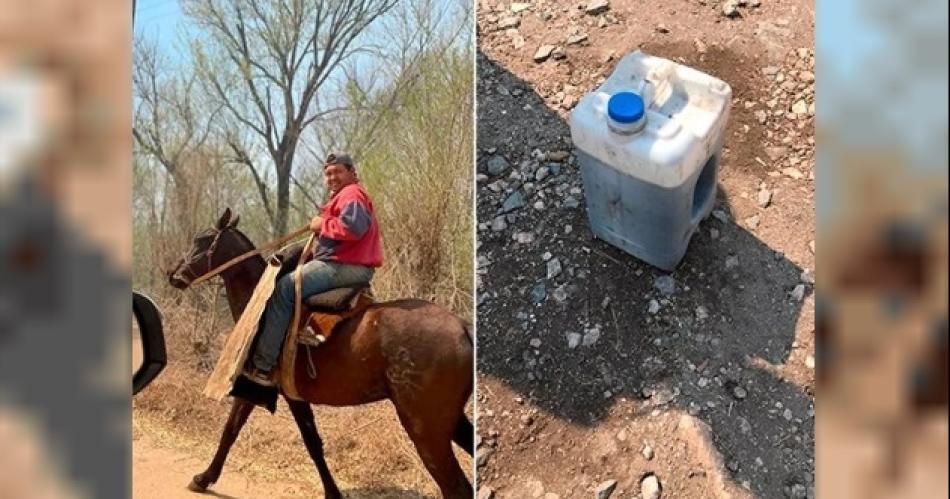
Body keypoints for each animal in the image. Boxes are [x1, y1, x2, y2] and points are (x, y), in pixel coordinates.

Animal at [169, 209, 476, 498]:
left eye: (202, 240)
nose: (173, 274)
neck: (262, 303)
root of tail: (463, 327)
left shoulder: (257, 385)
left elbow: (234, 430)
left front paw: (203, 477)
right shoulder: (292, 395)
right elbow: (310, 442)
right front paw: (332, 491)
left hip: (426, 429)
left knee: (455, 487)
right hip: (449, 421)